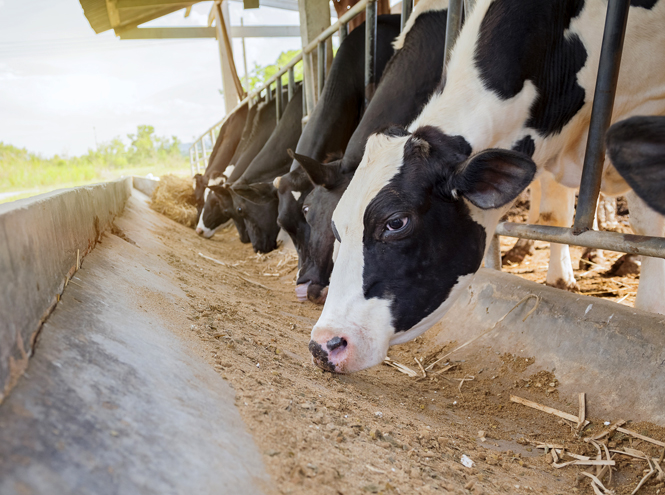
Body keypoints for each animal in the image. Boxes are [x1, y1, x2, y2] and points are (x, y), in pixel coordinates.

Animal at [306, 0, 664, 374]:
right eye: (336, 226)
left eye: (396, 222)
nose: (324, 345)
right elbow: (555, 211)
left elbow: (642, 219)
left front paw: (649, 306)